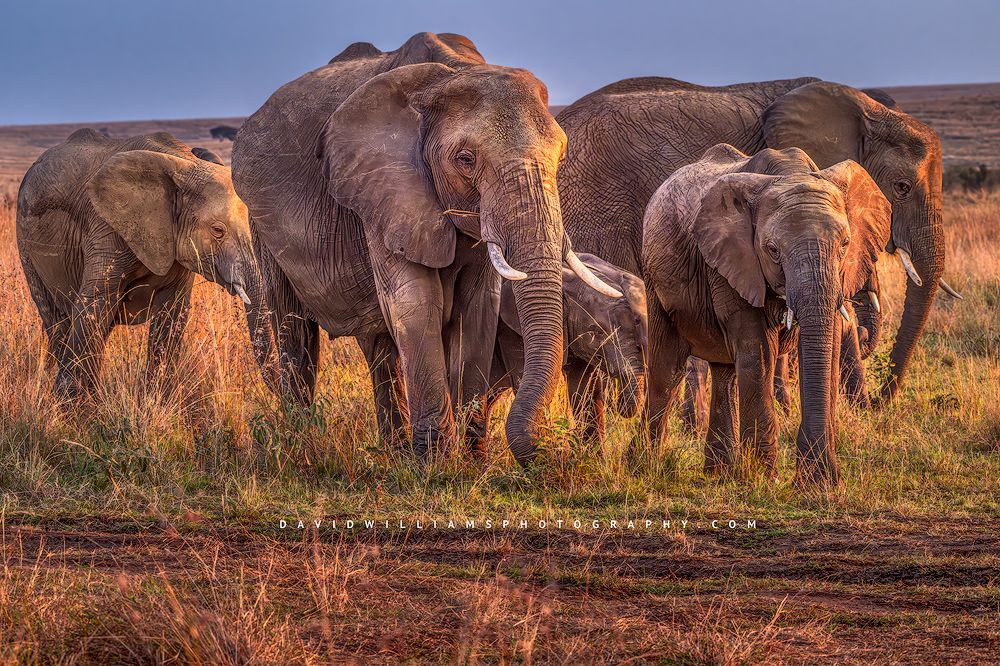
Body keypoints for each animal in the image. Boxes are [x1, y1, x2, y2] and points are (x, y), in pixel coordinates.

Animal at [16, 129, 270, 397]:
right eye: (217, 230)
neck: (184, 163)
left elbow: (172, 314)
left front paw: (154, 399)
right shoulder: (105, 226)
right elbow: (94, 305)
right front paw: (69, 403)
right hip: (25, 245)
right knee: (56, 319)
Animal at [231, 32, 620, 463]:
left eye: (562, 156)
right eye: (465, 160)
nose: (555, 451)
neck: (454, 72)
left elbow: (477, 307)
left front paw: (472, 459)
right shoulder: (385, 189)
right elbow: (417, 302)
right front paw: (438, 463)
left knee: (378, 346)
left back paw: (393, 451)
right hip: (261, 224)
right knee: (294, 334)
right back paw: (301, 446)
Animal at [642, 145, 891, 487]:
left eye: (845, 244)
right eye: (772, 250)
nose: (808, 478)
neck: (791, 173)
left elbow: (826, 349)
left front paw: (820, 483)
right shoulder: (731, 260)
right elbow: (757, 350)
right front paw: (764, 479)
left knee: (725, 374)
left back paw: (718, 475)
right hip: (654, 278)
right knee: (668, 367)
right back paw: (643, 467)